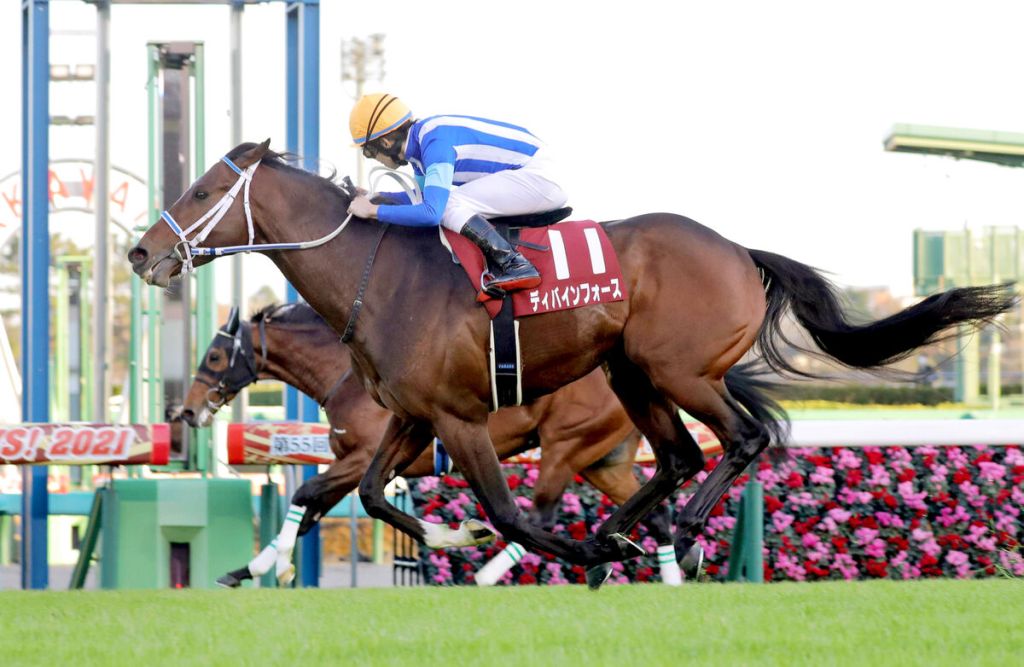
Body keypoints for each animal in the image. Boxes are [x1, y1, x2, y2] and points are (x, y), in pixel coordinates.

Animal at [183, 302, 750, 586]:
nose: (185, 411)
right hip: (604, 463)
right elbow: (313, 511)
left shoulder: (361, 457)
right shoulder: (359, 459)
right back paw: (666, 569)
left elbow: (307, 497)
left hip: (565, 447)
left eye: (214, 356)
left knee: (540, 512)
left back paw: (490, 574)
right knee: (654, 512)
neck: (347, 372)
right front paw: (252, 568)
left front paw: (266, 567)